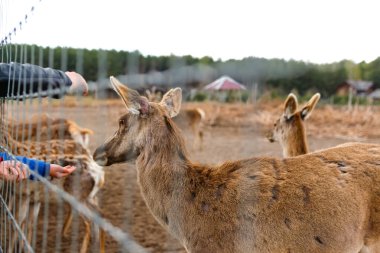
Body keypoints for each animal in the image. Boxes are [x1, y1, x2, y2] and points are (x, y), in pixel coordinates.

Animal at [2, 121, 105, 252]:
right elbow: (29, 223)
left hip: (76, 196)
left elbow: (17, 222)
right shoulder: (34, 198)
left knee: (89, 221)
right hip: (89, 197)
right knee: (100, 216)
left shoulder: (24, 194)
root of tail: (100, 174)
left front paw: (12, 249)